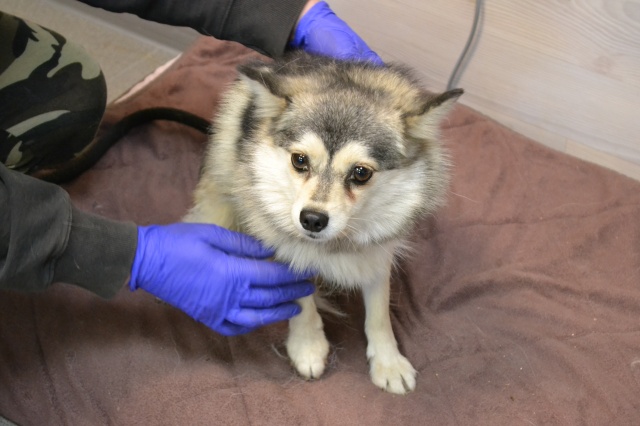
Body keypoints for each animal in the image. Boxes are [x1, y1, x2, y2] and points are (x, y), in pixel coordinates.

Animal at [184, 52, 462, 394]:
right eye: (299, 160)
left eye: (361, 173)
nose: (312, 220)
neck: (335, 244)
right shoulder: (280, 240)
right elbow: (300, 294)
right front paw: (307, 345)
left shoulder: (377, 250)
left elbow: (379, 310)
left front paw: (388, 361)